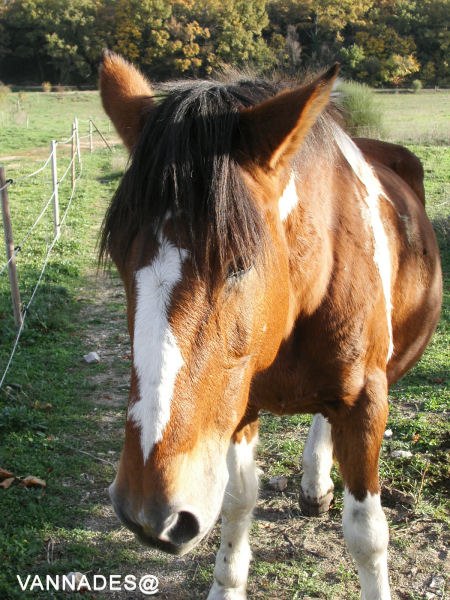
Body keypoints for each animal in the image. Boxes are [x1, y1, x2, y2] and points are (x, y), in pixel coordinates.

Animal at [99, 51, 442, 600]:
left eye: (240, 264)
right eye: (118, 255)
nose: (148, 514)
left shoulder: (366, 403)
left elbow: (367, 534)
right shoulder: (238, 408)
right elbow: (237, 503)